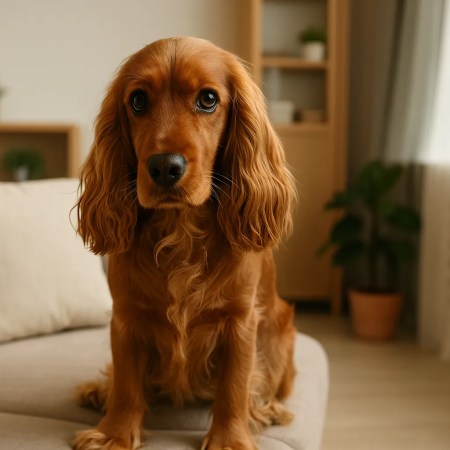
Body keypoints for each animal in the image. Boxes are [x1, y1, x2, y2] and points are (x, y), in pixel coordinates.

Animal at [72, 36, 297, 450]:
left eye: (208, 99)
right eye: (138, 100)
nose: (164, 166)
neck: (180, 229)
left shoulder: (239, 320)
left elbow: (234, 386)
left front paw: (229, 439)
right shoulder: (126, 317)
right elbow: (126, 383)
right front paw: (114, 434)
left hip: (281, 337)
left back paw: (267, 408)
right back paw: (98, 391)